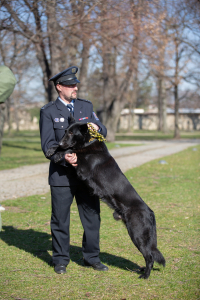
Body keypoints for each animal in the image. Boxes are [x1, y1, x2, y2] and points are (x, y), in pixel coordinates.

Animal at [46, 116, 166, 278]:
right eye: (65, 131)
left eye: (71, 133)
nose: (59, 142)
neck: (89, 142)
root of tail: (150, 212)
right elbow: (69, 149)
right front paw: (53, 149)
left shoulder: (83, 166)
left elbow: (72, 149)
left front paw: (60, 153)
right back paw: (142, 270)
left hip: (137, 234)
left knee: (150, 257)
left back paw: (145, 275)